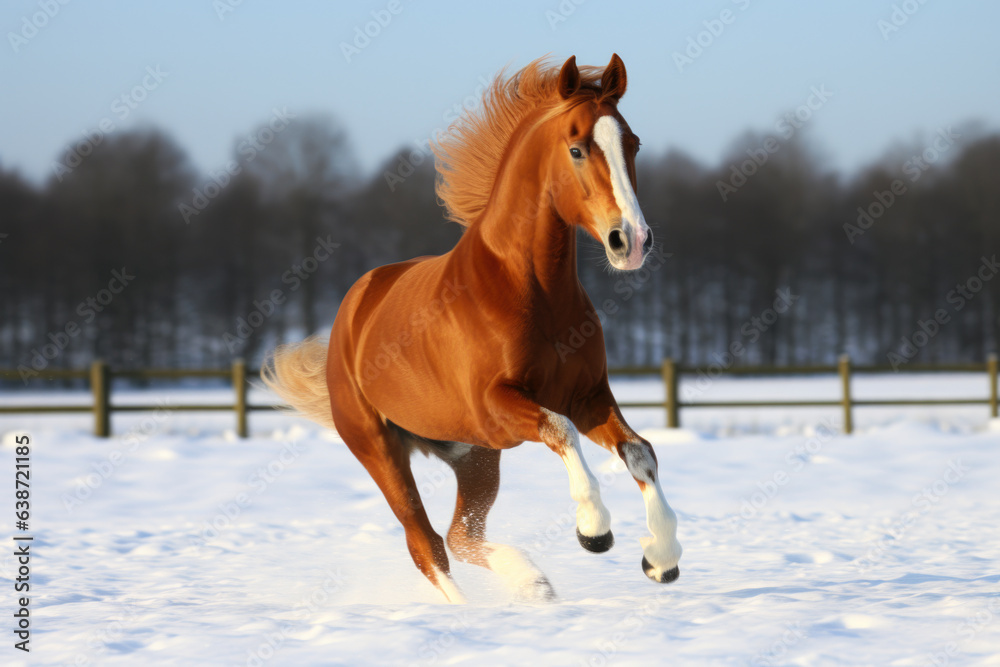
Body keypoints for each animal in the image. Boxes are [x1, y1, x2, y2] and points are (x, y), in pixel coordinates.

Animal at [263, 54, 682, 603]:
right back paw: (469, 612)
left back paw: (533, 584)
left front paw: (662, 558)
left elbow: (640, 452)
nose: (631, 241)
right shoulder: (496, 407)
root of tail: (353, 310)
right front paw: (594, 530)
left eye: (632, 144)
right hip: (381, 450)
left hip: (475, 459)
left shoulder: (588, 397)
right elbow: (560, 431)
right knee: (427, 543)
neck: (530, 291)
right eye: (576, 148)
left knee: (462, 534)